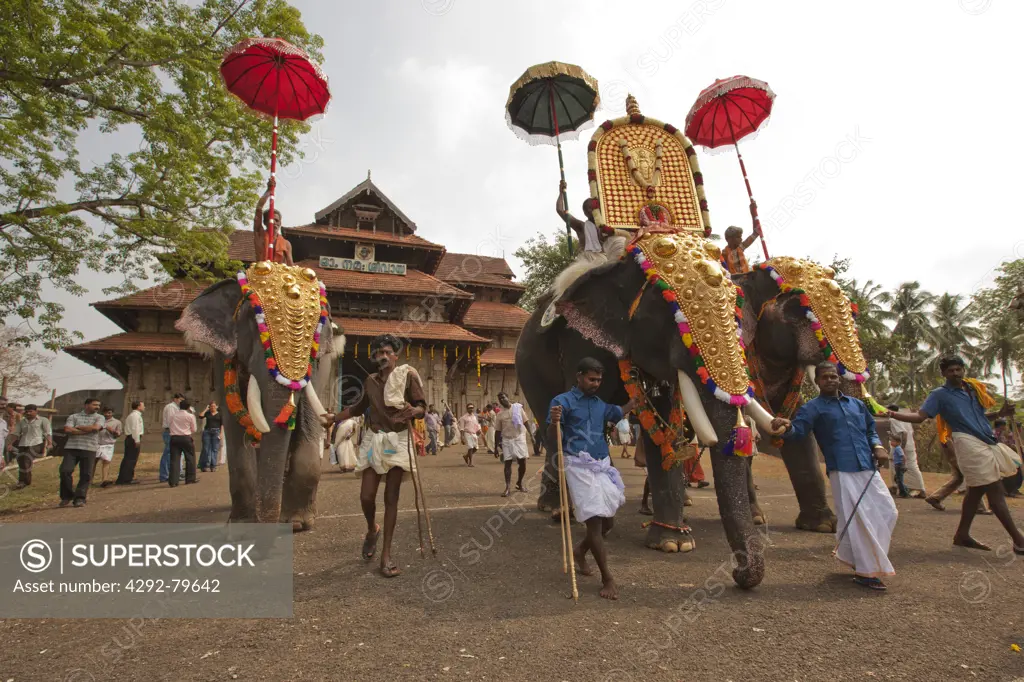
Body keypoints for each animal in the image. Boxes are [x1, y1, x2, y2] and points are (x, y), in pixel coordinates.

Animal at [176, 262, 344, 528]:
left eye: (316, 331)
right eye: (252, 321)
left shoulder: (319, 366)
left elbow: (307, 418)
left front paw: (297, 523)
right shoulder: (223, 357)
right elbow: (234, 428)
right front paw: (244, 524)